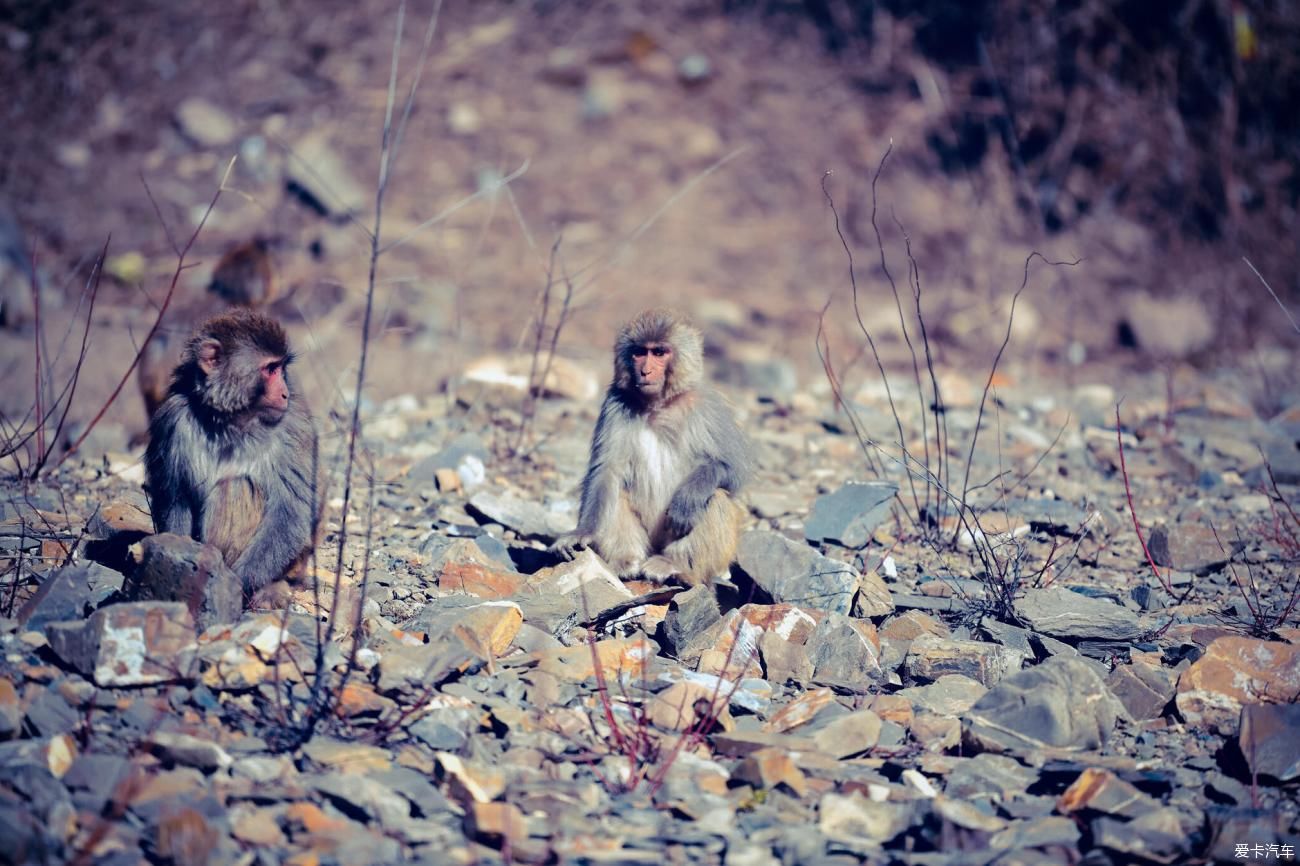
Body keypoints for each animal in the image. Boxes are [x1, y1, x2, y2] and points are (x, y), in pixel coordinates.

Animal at [145, 308, 319, 600]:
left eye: (280, 368)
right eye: (271, 369)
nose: (285, 393)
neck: (229, 422)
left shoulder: (292, 429)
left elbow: (291, 513)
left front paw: (239, 582)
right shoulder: (172, 421)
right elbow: (176, 496)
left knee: (236, 485)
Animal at [553, 306, 759, 582]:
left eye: (659, 352)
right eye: (640, 352)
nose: (645, 371)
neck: (657, 405)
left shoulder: (708, 405)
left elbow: (734, 470)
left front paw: (688, 499)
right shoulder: (614, 403)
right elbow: (606, 470)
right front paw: (582, 531)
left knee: (715, 496)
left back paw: (674, 563)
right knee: (616, 488)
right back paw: (625, 562)